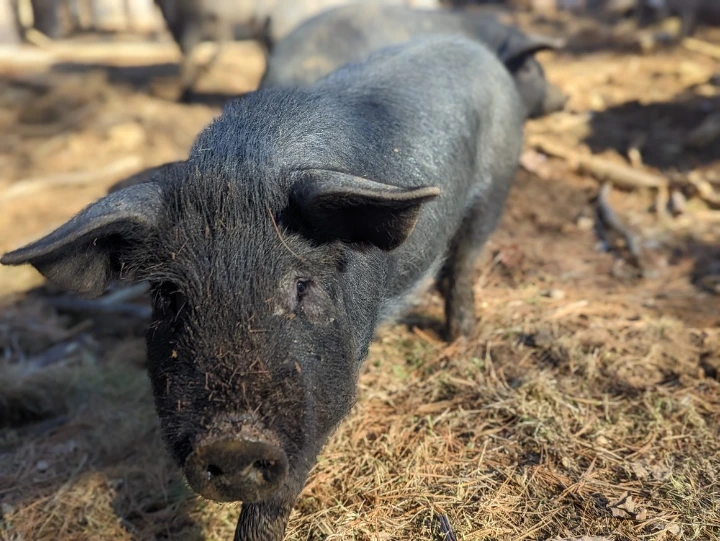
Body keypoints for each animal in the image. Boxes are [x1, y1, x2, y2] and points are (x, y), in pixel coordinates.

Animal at [1, 36, 524, 540]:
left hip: (497, 186)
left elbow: (278, 494)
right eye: (168, 296)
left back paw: (461, 336)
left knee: (464, 261)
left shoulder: (325, 392)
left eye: (301, 287)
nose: (232, 441)